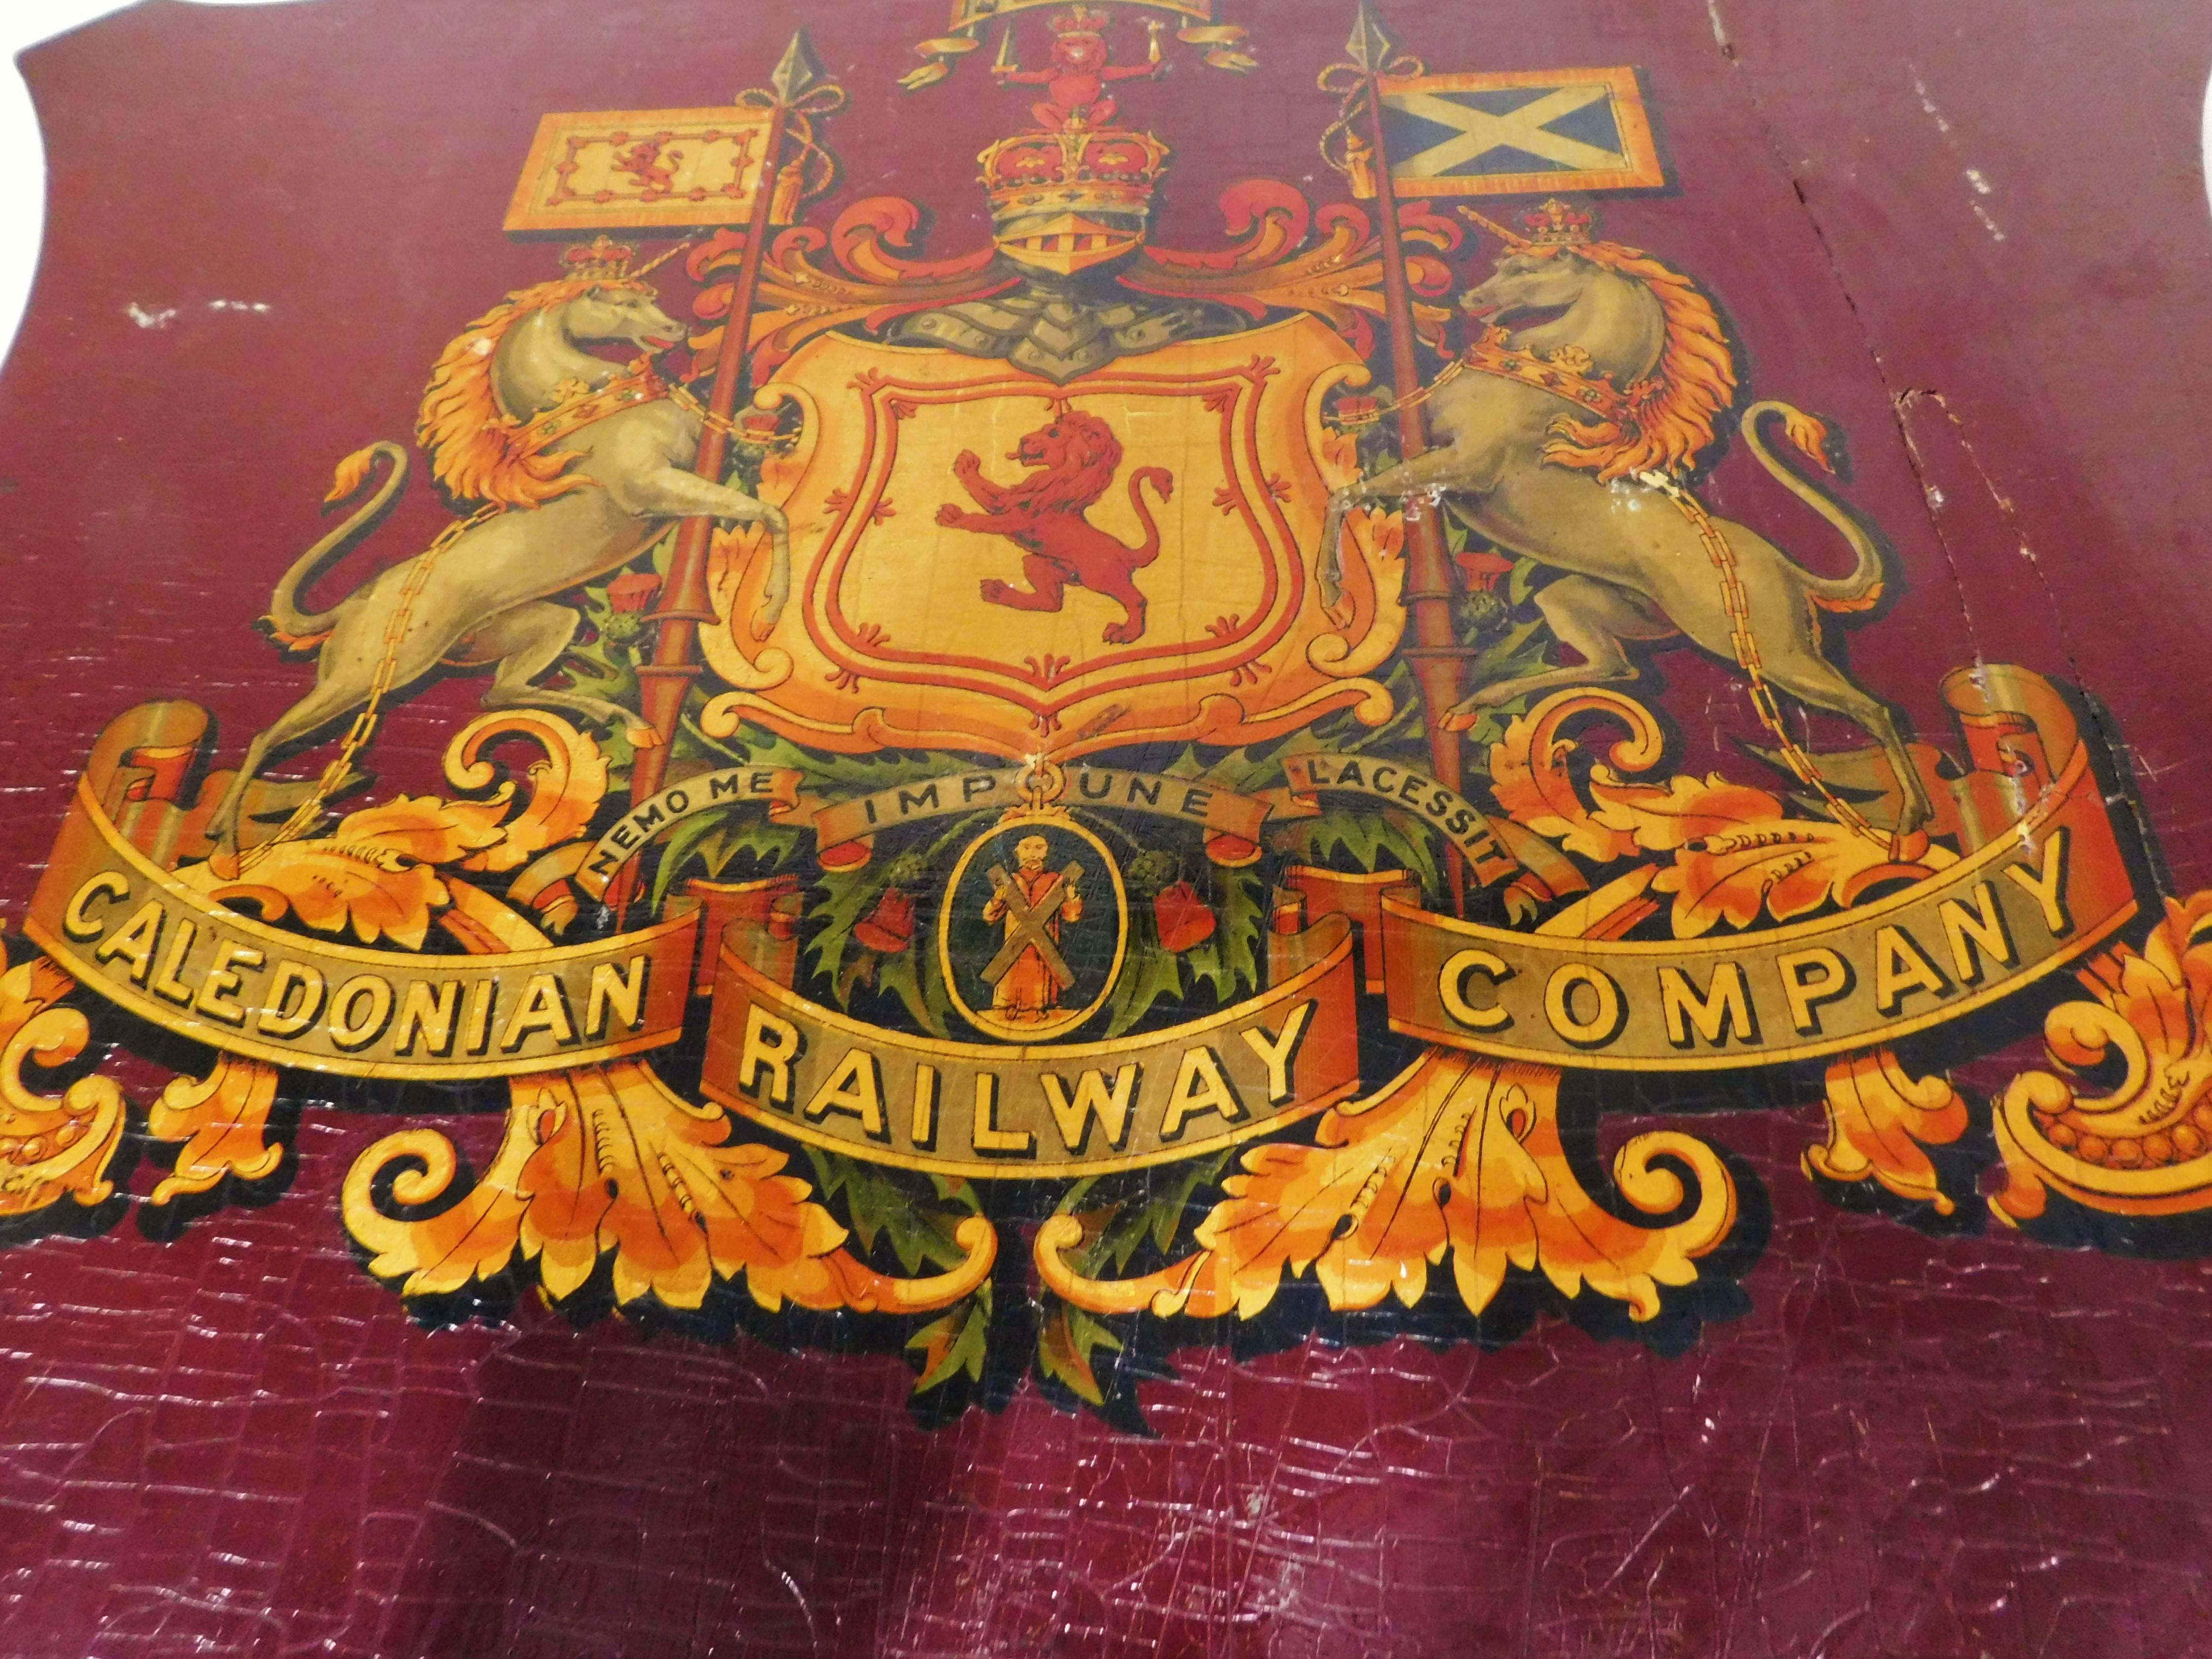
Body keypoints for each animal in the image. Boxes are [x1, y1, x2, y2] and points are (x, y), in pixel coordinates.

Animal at [933, 411, 1176, 650]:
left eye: (1054, 433)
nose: (1023, 441)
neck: (1058, 481)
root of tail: (1126, 553)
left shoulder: (1019, 519)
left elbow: (984, 521)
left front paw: (953, 517)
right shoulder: (1009, 502)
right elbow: (988, 491)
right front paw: (966, 466)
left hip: (1100, 577)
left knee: (1137, 600)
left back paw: (1125, 633)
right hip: (1040, 563)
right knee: (1051, 602)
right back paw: (997, 592)